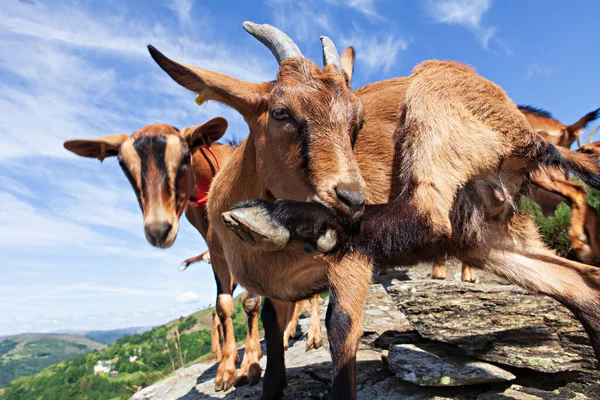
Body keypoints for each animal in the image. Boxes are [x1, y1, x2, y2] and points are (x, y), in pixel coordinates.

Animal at [148, 22, 600, 400]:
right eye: (280, 113)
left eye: (357, 123)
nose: (353, 196)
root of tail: (526, 133)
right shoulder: (274, 292)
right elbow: (274, 349)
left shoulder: (350, 262)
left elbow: (342, 325)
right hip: (487, 235)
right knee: (582, 286)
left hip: (434, 102)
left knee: (424, 214)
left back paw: (280, 218)